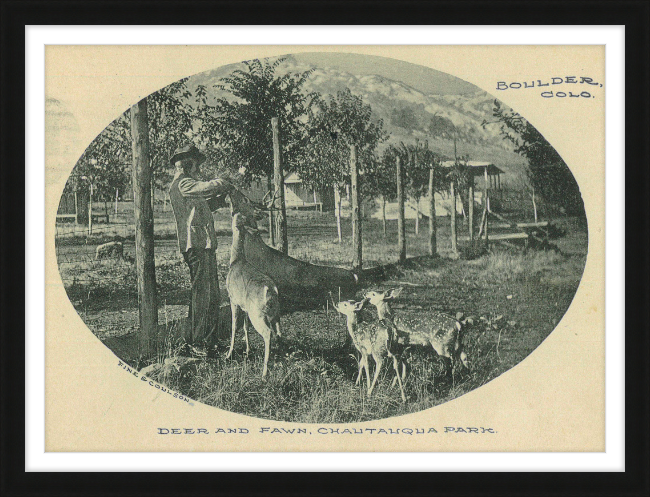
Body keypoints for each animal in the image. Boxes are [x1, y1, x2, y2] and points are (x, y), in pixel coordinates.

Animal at [224, 211, 280, 378]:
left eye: (238, 216)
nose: (233, 212)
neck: (236, 260)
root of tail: (270, 290)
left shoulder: (233, 299)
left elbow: (234, 326)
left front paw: (229, 353)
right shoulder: (245, 307)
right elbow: (245, 326)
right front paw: (248, 350)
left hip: (258, 313)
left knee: (268, 333)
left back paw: (264, 373)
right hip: (275, 312)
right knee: (278, 332)